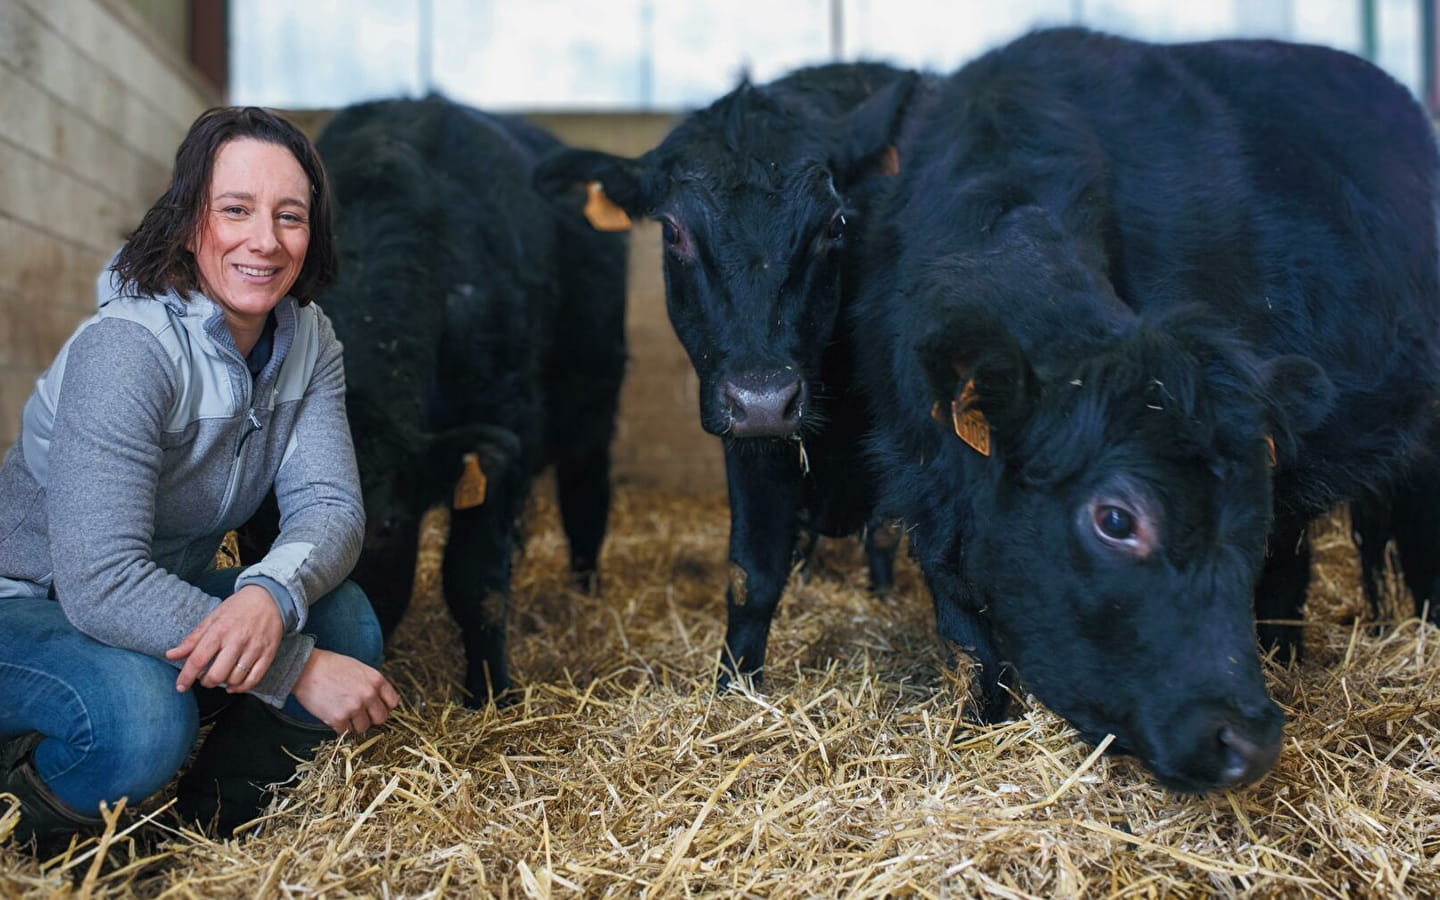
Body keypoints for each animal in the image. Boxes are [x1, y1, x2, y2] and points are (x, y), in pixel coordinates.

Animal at [309, 96, 624, 702]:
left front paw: (491, 690)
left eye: (385, 528)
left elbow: (475, 581)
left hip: (593, 399)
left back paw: (586, 593)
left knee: (586, 497)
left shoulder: (502, 426)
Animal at [535, 63, 915, 688]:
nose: (763, 399)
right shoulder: (753, 447)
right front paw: (736, 686)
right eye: (672, 232)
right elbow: (751, 575)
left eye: (835, 224)